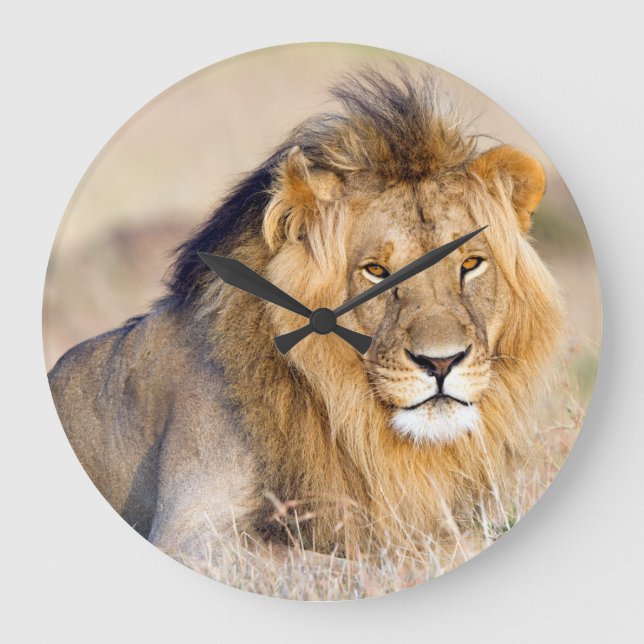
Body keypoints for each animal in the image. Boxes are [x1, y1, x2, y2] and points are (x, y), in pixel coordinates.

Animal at [48, 67, 564, 569]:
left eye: (471, 264)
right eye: (375, 271)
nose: (441, 363)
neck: (351, 419)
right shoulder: (193, 535)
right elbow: (345, 563)